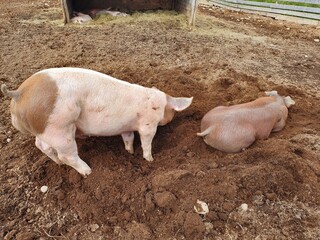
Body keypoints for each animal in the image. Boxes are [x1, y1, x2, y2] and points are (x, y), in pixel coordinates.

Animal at [1, 67, 192, 176]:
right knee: (67, 154)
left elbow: (128, 138)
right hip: (59, 127)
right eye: (171, 112)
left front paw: (130, 152)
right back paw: (87, 172)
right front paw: (150, 160)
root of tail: (19, 93)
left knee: (41, 145)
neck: (158, 102)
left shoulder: (126, 127)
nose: (170, 120)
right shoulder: (148, 124)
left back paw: (58, 163)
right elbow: (146, 141)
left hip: (43, 129)